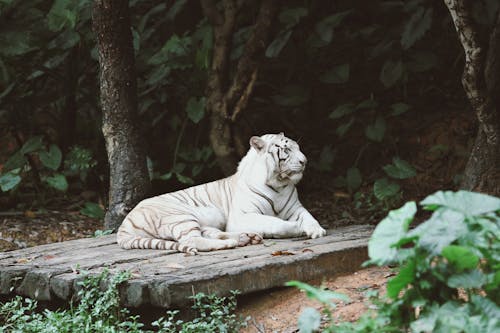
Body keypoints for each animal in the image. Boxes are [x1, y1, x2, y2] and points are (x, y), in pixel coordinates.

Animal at [117, 132, 328, 254]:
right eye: (286, 150)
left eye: (298, 148)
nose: (304, 161)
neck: (279, 184)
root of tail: (124, 224)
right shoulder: (242, 216)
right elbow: (276, 223)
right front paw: (297, 228)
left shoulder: (296, 208)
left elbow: (309, 217)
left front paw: (316, 230)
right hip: (180, 216)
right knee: (192, 239)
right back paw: (228, 244)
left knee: (209, 233)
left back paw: (246, 238)